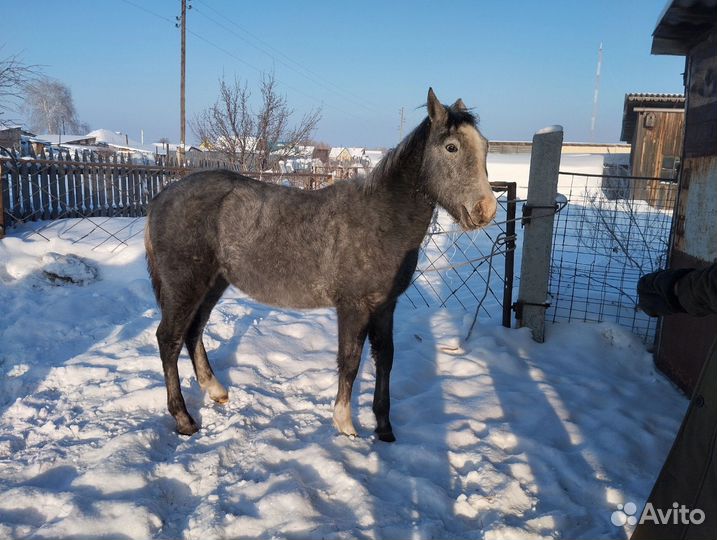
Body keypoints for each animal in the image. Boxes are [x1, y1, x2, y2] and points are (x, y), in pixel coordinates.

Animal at [144, 88, 497, 442]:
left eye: (485, 146)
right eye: (451, 147)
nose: (486, 210)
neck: (380, 219)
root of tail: (163, 196)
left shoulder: (385, 306)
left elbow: (385, 357)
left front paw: (384, 427)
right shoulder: (353, 306)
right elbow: (350, 360)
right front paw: (345, 423)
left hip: (213, 283)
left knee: (193, 331)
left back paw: (216, 390)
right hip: (185, 285)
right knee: (169, 339)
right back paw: (184, 419)